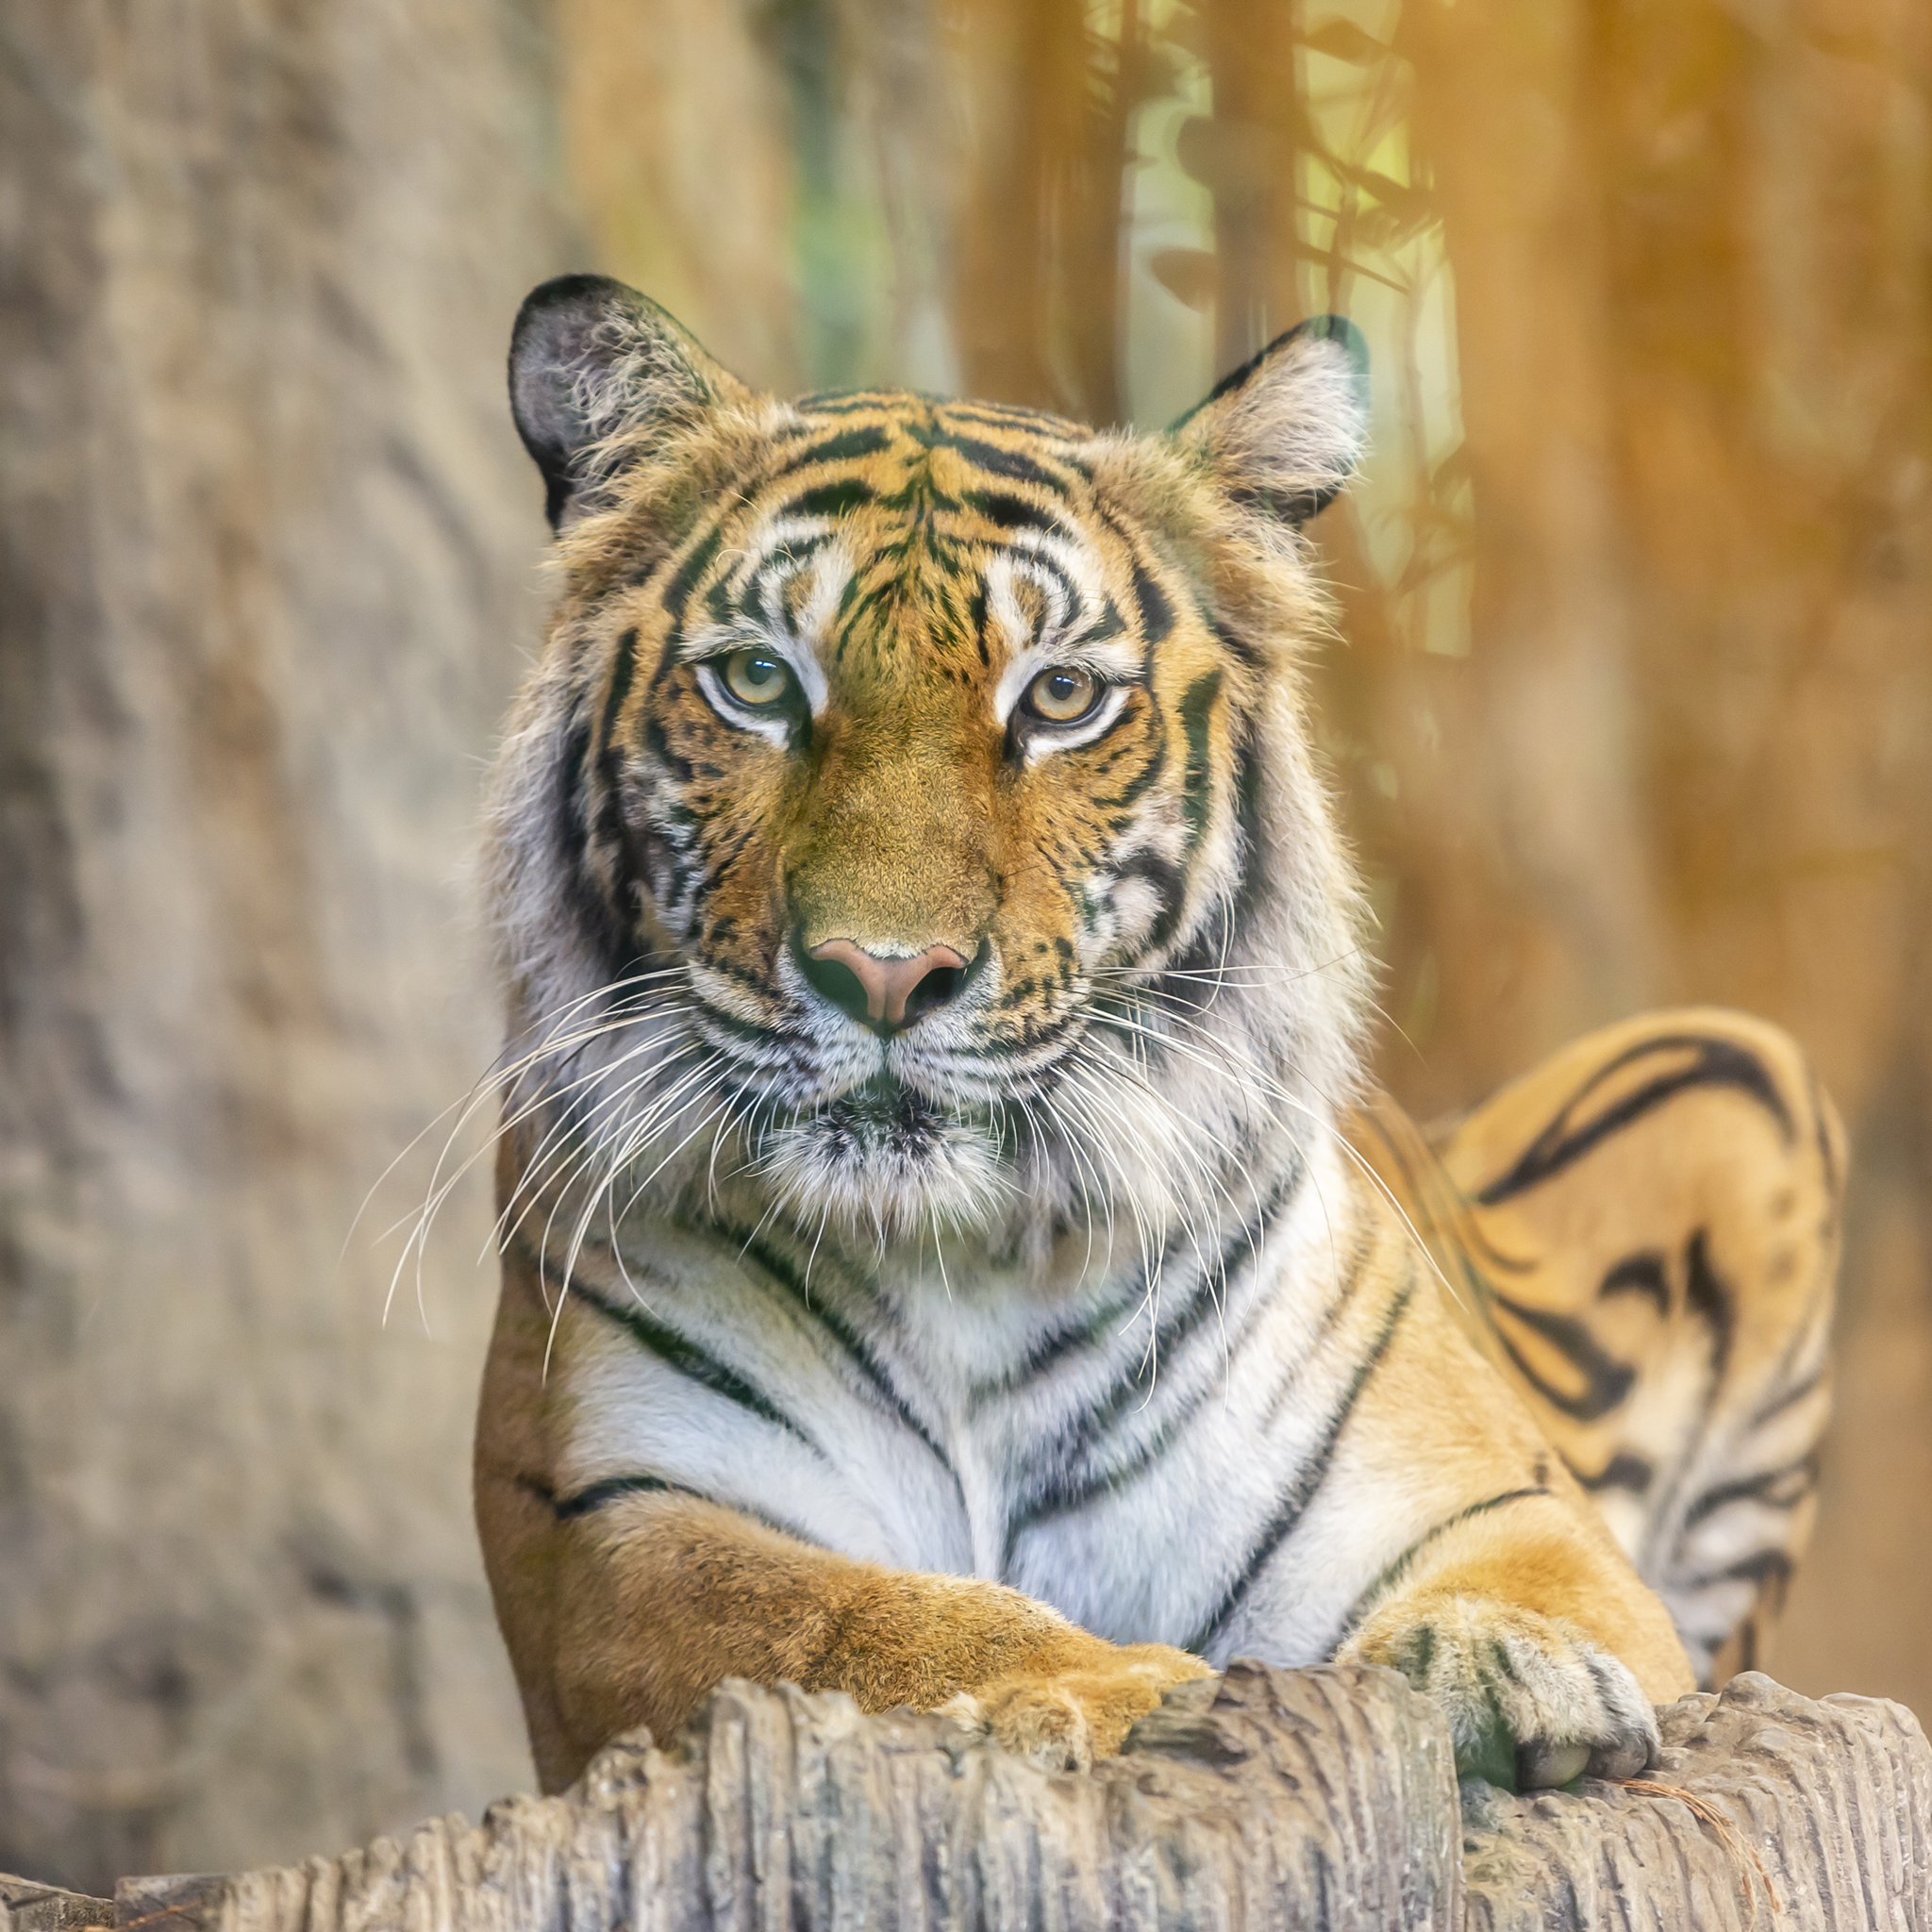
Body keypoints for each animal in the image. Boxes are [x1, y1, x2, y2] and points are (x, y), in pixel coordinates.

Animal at [472, 272, 1841, 1799]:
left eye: (1059, 698)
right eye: (761, 683)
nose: (883, 976)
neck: (957, 1258)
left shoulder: (1490, 1497)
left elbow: (1531, 1585)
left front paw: (1507, 1661)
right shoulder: (621, 1524)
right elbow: (851, 1615)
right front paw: (1119, 1686)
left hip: (1743, 1071)